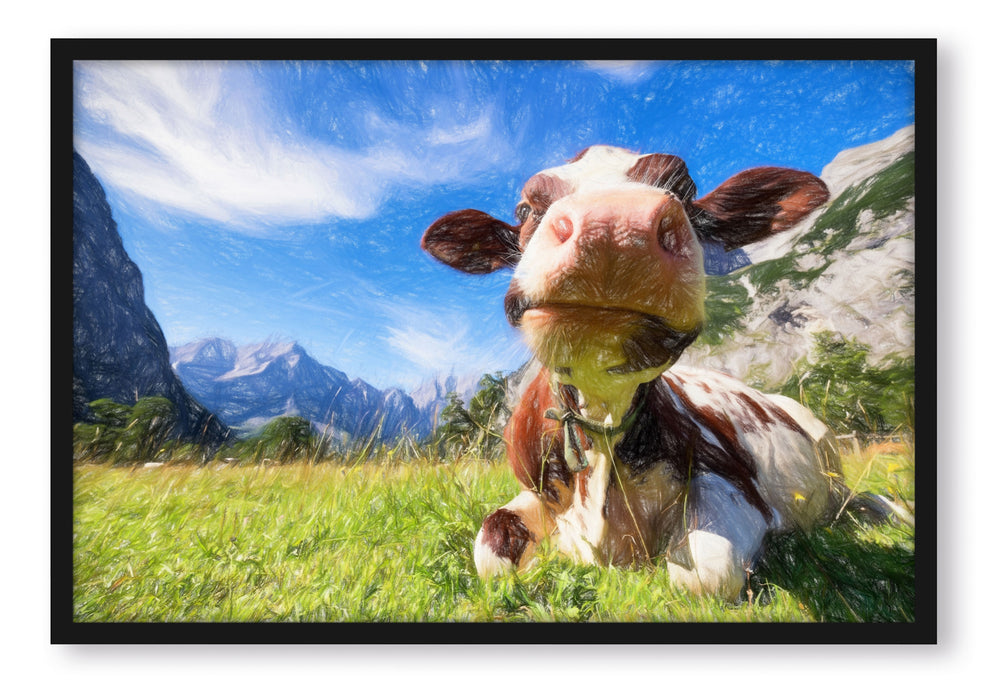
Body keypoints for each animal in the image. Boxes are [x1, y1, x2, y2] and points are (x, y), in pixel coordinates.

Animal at [421, 145, 852, 600]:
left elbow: (703, 573)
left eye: (685, 190)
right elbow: (491, 548)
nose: (614, 226)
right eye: (524, 208)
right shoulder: (533, 490)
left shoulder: (734, 481)